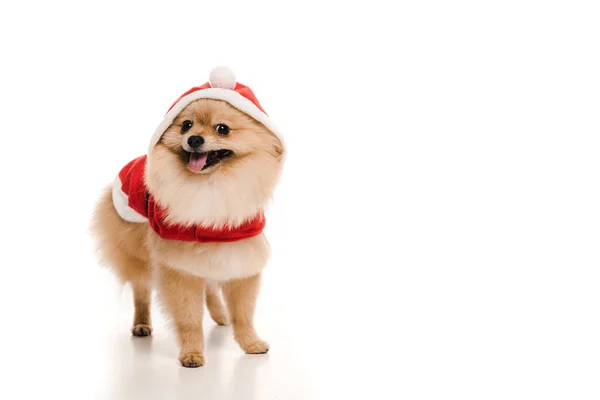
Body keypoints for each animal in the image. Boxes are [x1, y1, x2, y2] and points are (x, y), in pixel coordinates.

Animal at [90, 66, 284, 368]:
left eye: (222, 129)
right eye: (186, 125)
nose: (194, 139)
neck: (211, 186)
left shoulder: (238, 252)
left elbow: (243, 312)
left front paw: (250, 343)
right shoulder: (179, 264)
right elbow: (188, 316)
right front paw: (192, 353)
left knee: (211, 289)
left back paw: (221, 316)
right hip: (138, 254)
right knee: (141, 291)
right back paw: (142, 324)